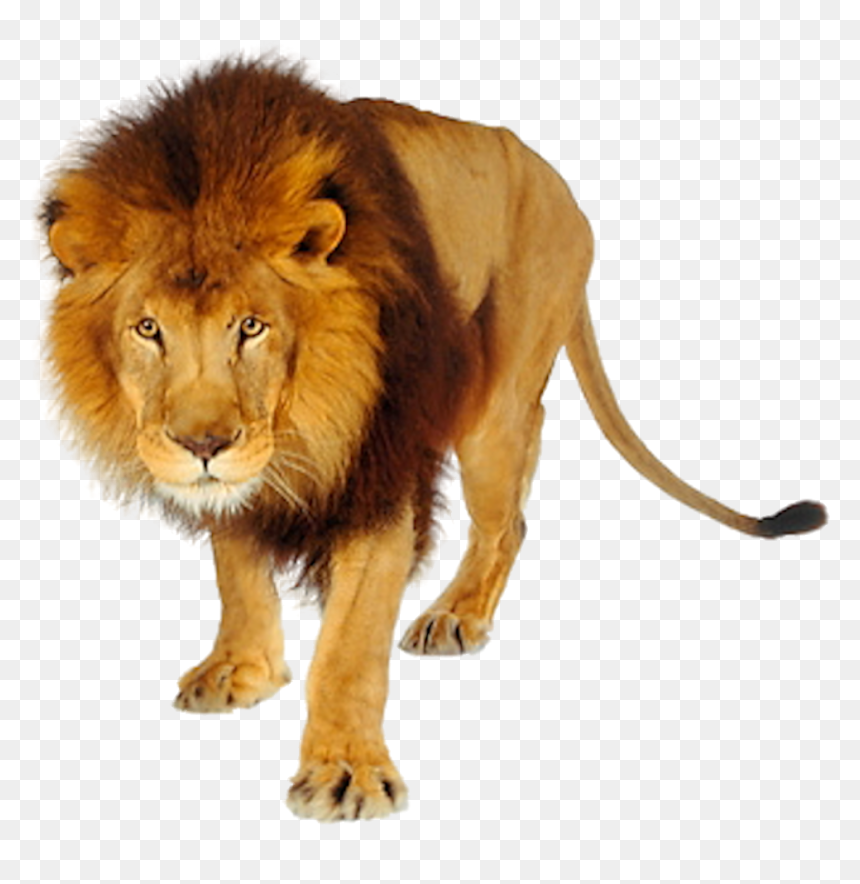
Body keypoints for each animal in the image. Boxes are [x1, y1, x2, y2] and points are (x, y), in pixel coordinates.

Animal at [42, 58, 826, 821]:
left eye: (252, 326)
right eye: (148, 328)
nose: (203, 444)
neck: (305, 415)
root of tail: (557, 182)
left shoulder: (384, 472)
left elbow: (348, 649)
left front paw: (347, 773)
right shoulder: (248, 477)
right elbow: (236, 569)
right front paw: (243, 668)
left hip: (493, 404)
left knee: (509, 516)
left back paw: (456, 615)